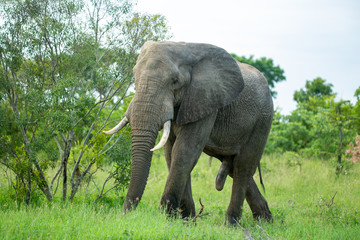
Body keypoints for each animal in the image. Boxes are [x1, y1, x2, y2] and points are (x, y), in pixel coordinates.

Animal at [104, 41, 272, 225]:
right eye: (134, 75)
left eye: (175, 81)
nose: (126, 214)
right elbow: (171, 152)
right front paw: (187, 219)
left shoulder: (205, 98)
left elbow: (184, 151)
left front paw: (168, 217)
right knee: (234, 166)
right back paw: (265, 220)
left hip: (262, 120)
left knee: (244, 166)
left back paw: (232, 225)